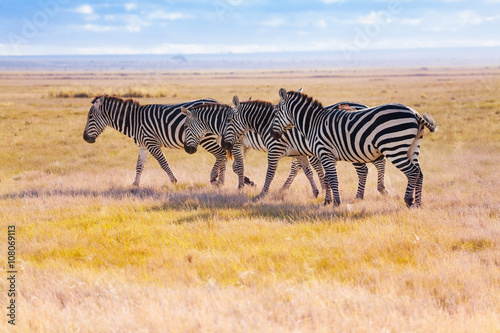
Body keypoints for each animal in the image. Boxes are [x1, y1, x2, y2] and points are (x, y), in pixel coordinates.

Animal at [82, 94, 229, 185]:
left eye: (90, 117)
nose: (85, 138)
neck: (134, 121)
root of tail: (217, 102)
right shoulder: (143, 146)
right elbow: (139, 166)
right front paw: (135, 184)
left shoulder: (152, 143)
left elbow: (163, 163)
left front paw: (174, 181)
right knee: (224, 157)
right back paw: (221, 181)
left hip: (206, 138)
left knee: (221, 154)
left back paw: (216, 180)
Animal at [182, 102, 322, 197]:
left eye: (185, 127)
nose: (188, 149)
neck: (223, 124)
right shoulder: (246, 147)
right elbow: (235, 166)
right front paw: (248, 182)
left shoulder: (237, 145)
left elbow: (239, 166)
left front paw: (239, 187)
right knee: (301, 167)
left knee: (313, 165)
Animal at [219, 94, 386, 201]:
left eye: (228, 120)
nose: (224, 144)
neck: (266, 124)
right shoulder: (298, 152)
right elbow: (306, 171)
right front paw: (317, 191)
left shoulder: (274, 149)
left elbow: (267, 173)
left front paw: (256, 192)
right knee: (378, 162)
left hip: (355, 149)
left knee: (367, 168)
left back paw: (370, 193)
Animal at [272, 88, 436, 208]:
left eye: (275, 112)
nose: (273, 134)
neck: (313, 123)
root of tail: (414, 113)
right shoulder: (327, 156)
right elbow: (327, 178)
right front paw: (327, 201)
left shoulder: (325, 153)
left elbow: (332, 178)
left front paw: (336, 203)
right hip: (412, 148)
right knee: (419, 172)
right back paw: (418, 203)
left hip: (394, 147)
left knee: (412, 172)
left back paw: (408, 200)